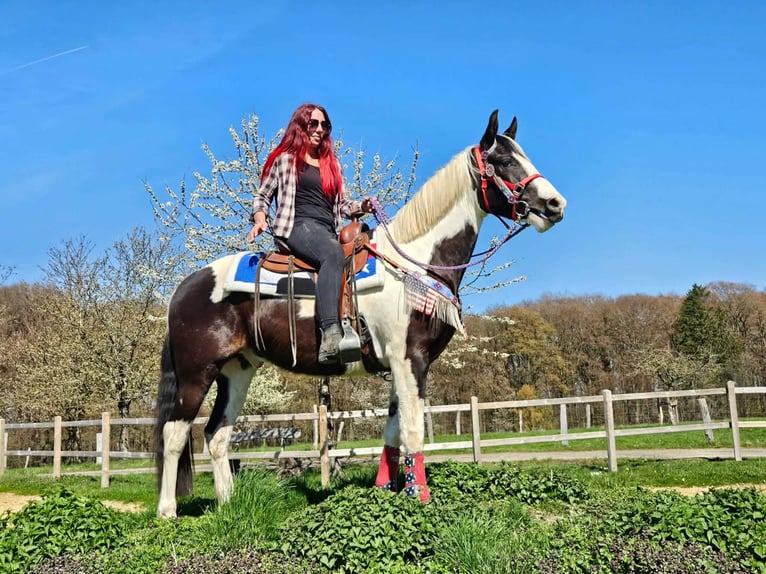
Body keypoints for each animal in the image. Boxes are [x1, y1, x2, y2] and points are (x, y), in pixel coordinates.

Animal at [155, 109, 567, 518]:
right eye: (505, 161)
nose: (555, 205)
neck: (413, 264)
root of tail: (184, 288)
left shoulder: (399, 365)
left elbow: (393, 430)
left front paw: (388, 490)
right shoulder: (411, 359)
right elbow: (413, 431)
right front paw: (420, 500)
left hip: (237, 370)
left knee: (217, 433)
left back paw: (228, 504)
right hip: (196, 372)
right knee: (174, 433)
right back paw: (168, 512)